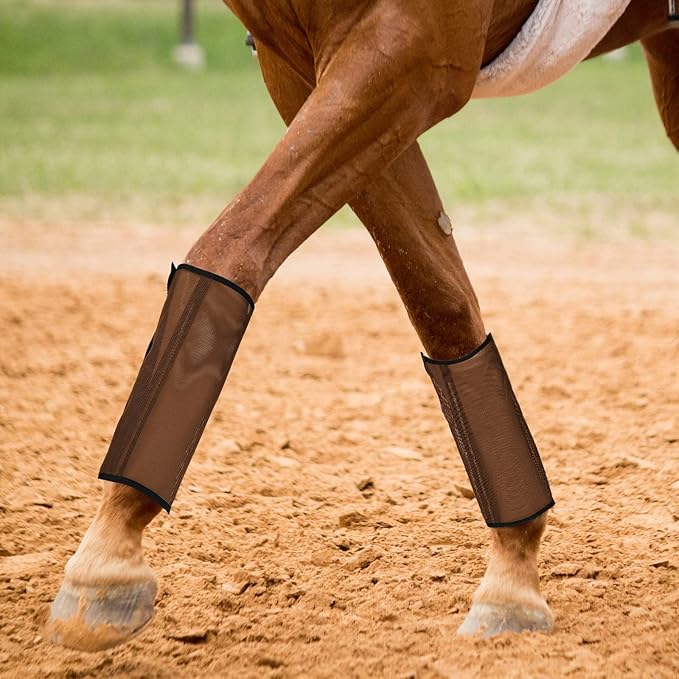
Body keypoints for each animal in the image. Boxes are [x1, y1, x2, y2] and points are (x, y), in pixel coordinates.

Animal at [46, 0, 678, 651]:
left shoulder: (411, 52)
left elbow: (234, 244)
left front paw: (108, 560)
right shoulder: (300, 66)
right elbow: (438, 302)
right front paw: (513, 573)